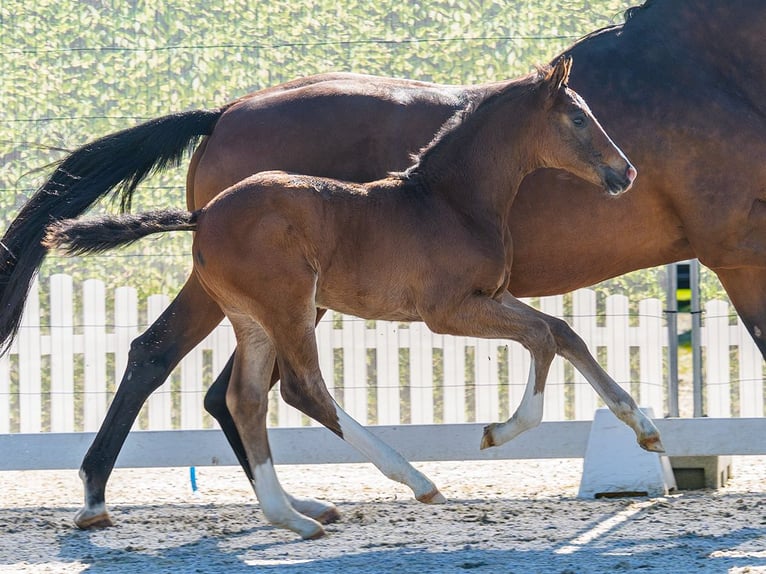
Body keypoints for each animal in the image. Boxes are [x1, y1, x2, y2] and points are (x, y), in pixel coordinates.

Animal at [2, 0, 764, 529]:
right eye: (578, 117)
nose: (625, 172)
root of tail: (221, 113)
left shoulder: (486, 297)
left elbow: (561, 334)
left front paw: (640, 426)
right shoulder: (734, 249)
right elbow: (557, 337)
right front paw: (508, 431)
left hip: (266, 306)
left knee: (232, 391)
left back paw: (293, 507)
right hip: (280, 301)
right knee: (198, 366)